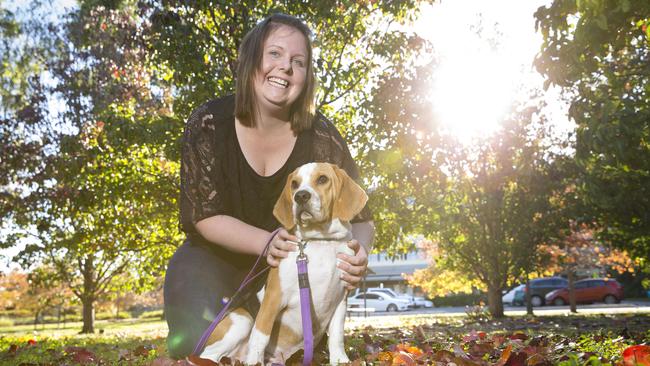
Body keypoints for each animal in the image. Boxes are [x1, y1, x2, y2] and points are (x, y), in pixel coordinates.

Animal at [200, 163, 368, 366]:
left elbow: (336, 336)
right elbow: (260, 336)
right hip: (242, 321)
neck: (321, 241)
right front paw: (254, 361)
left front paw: (340, 359)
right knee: (208, 355)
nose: (301, 196)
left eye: (322, 179)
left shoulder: (340, 299)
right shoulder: (273, 299)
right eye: (294, 184)